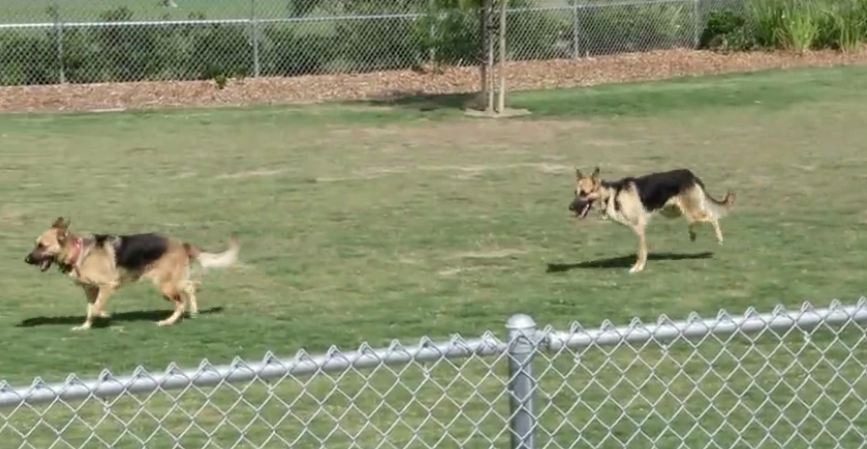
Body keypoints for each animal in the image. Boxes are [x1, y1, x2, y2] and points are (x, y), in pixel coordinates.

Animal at [25, 217, 241, 328]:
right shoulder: (90, 290)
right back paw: (193, 312)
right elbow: (89, 309)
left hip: (164, 285)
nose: (26, 259)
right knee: (191, 287)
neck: (78, 252)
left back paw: (167, 321)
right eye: (36, 244)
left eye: (42, 245)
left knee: (181, 301)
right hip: (172, 281)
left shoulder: (107, 286)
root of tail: (182, 244)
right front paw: (85, 326)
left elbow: (96, 307)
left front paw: (105, 315)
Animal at [572, 168, 736, 272]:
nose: (570, 208)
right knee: (695, 221)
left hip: (690, 211)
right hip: (675, 211)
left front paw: (638, 267)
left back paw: (719, 238)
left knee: (712, 217)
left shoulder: (639, 228)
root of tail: (691, 175)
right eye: (575, 193)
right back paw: (693, 235)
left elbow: (641, 251)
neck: (611, 195)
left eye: (584, 193)